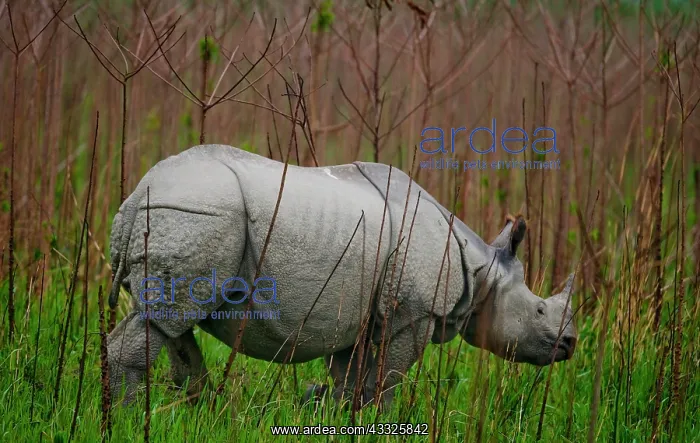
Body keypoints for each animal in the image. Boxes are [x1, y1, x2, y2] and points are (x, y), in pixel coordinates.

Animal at [107, 144, 577, 410]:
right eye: (539, 310)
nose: (570, 344)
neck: (481, 272)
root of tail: (135, 195)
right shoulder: (414, 314)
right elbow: (389, 376)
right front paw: (380, 421)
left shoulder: (355, 311)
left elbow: (348, 377)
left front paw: (335, 413)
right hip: (196, 212)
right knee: (163, 319)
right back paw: (128, 417)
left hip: (180, 212)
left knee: (171, 320)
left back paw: (200, 408)